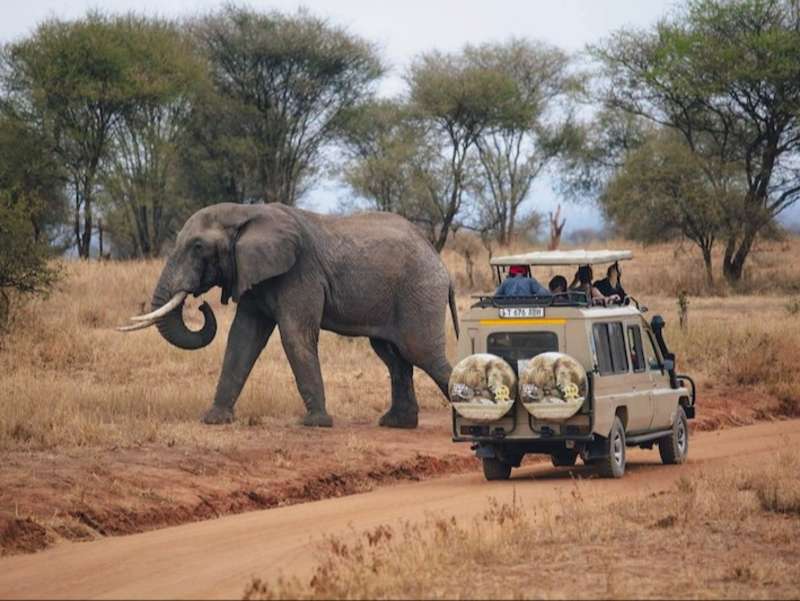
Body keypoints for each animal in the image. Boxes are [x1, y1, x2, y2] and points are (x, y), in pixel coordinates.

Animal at [119, 202, 459, 428]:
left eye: (199, 247)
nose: (202, 305)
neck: (244, 211)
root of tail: (441, 263)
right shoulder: (254, 276)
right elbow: (242, 339)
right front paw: (214, 419)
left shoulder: (299, 273)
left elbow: (295, 335)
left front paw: (316, 423)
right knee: (394, 356)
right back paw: (395, 424)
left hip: (420, 292)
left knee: (421, 352)